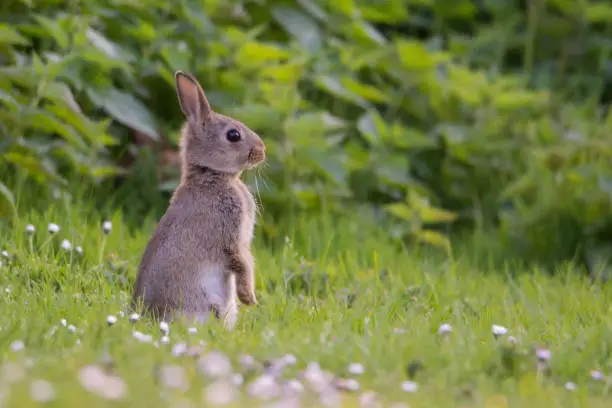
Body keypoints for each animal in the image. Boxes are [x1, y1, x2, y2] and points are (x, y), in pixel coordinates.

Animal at [131, 70, 266, 330]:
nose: (262, 150)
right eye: (233, 135)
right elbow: (242, 263)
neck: (211, 175)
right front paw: (249, 298)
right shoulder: (231, 236)